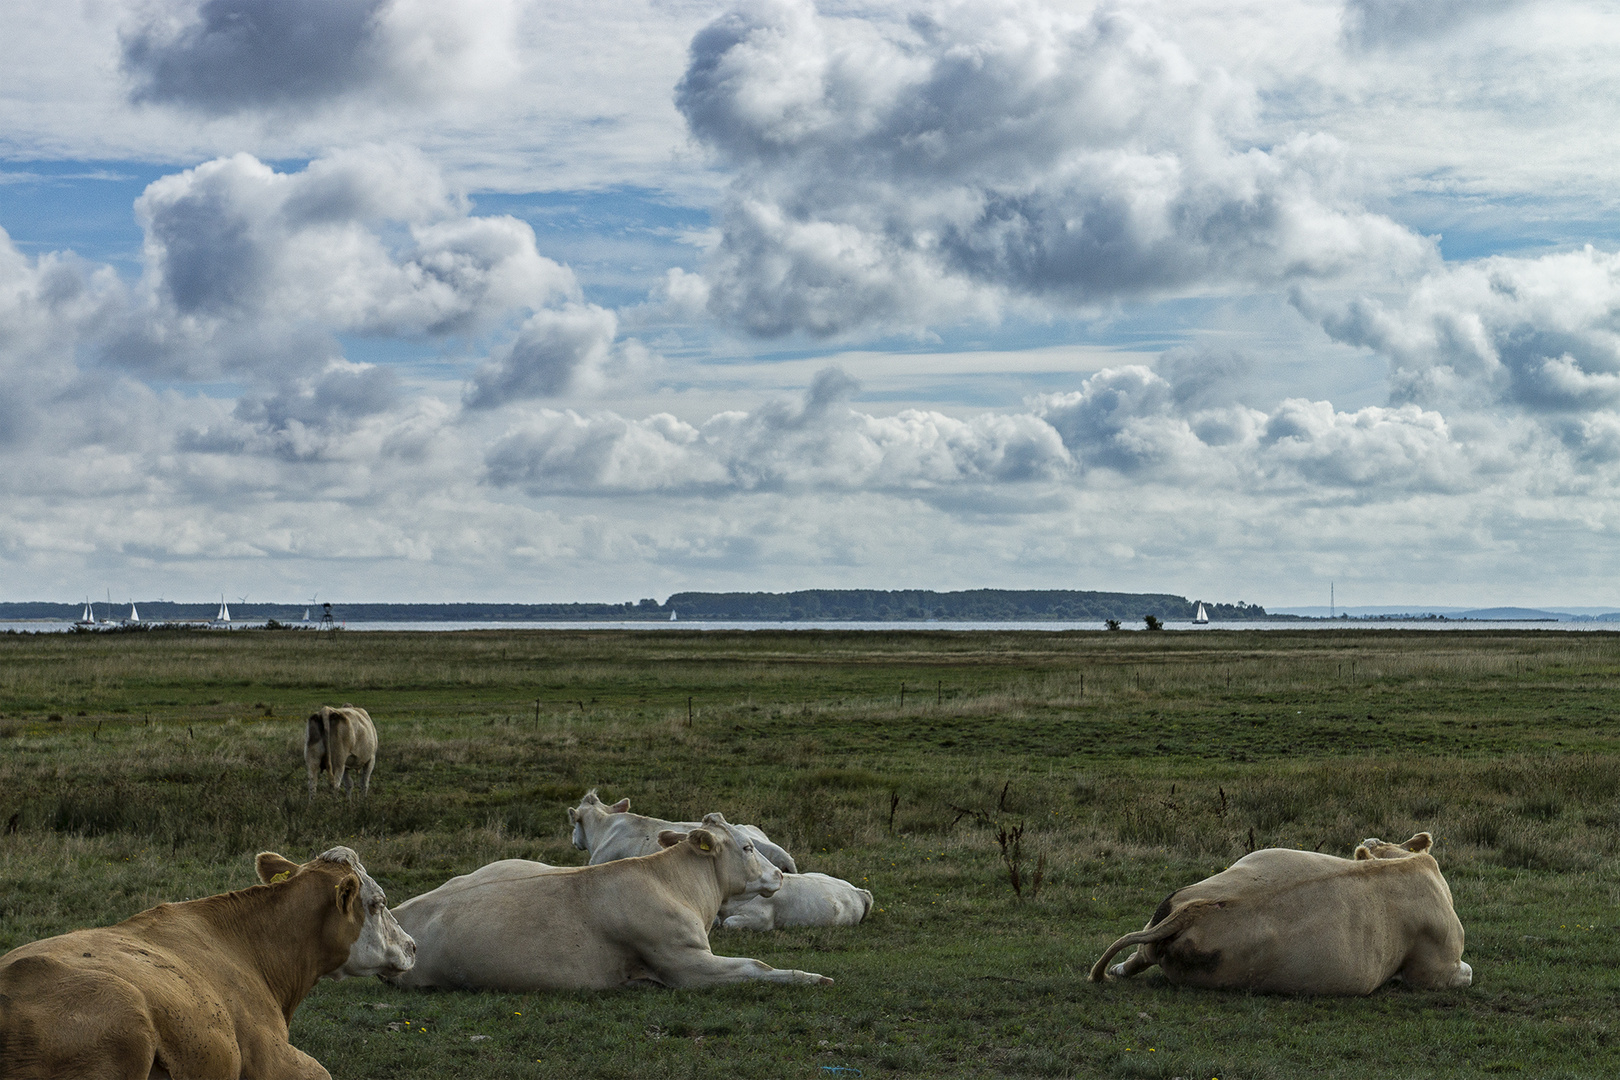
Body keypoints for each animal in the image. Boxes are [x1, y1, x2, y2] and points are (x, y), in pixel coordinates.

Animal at [385, 816, 829, 990]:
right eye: (748, 846)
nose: (780, 875)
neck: (676, 886)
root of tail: (397, 913)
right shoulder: (686, 963)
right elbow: (756, 966)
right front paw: (812, 977)